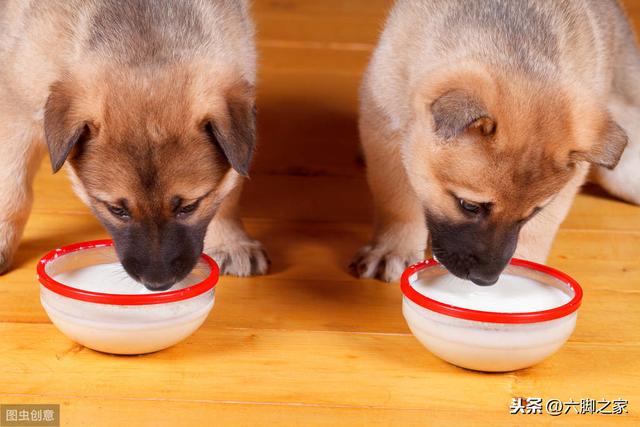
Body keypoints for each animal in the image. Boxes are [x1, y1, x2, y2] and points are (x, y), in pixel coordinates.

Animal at [0, 0, 268, 290]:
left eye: (189, 207)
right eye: (117, 210)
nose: (158, 284)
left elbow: (229, 189)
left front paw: (230, 241)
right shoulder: (18, 111)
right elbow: (13, 188)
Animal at [350, 1, 640, 288]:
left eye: (533, 212)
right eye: (469, 206)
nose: (486, 280)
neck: (516, 51)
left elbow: (539, 231)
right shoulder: (387, 128)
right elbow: (397, 201)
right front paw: (394, 248)